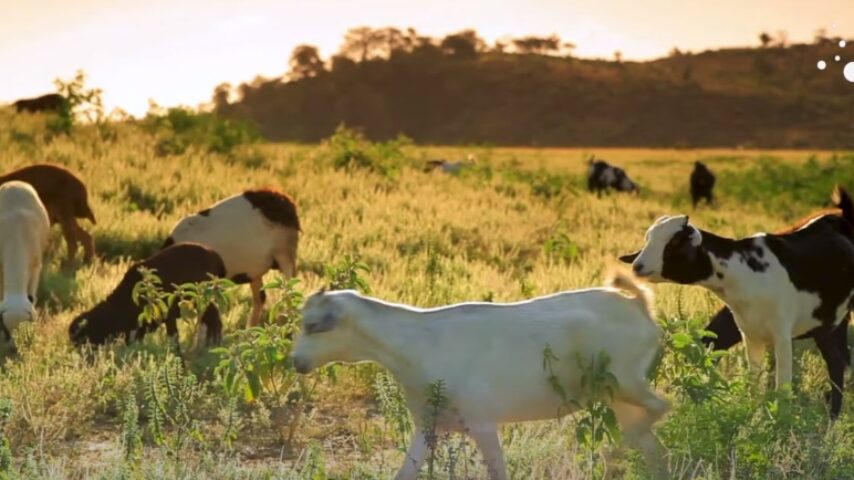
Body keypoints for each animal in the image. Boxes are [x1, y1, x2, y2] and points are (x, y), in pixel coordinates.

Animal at [164, 189, 300, 328]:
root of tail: (281, 198)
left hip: (285, 256)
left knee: (288, 294)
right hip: (255, 270)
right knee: (260, 298)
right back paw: (250, 330)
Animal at [292, 274, 668, 480]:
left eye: (313, 325)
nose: (296, 362)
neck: (418, 344)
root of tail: (638, 304)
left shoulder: (483, 426)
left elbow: (498, 472)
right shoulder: (428, 426)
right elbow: (405, 473)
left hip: (626, 381)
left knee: (662, 407)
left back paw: (611, 456)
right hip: (617, 398)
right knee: (654, 446)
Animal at [620, 187, 854, 416]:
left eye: (675, 242)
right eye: (648, 239)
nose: (638, 266)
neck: (745, 272)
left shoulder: (782, 334)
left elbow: (782, 390)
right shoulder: (751, 335)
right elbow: (754, 387)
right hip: (829, 325)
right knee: (837, 361)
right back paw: (832, 416)